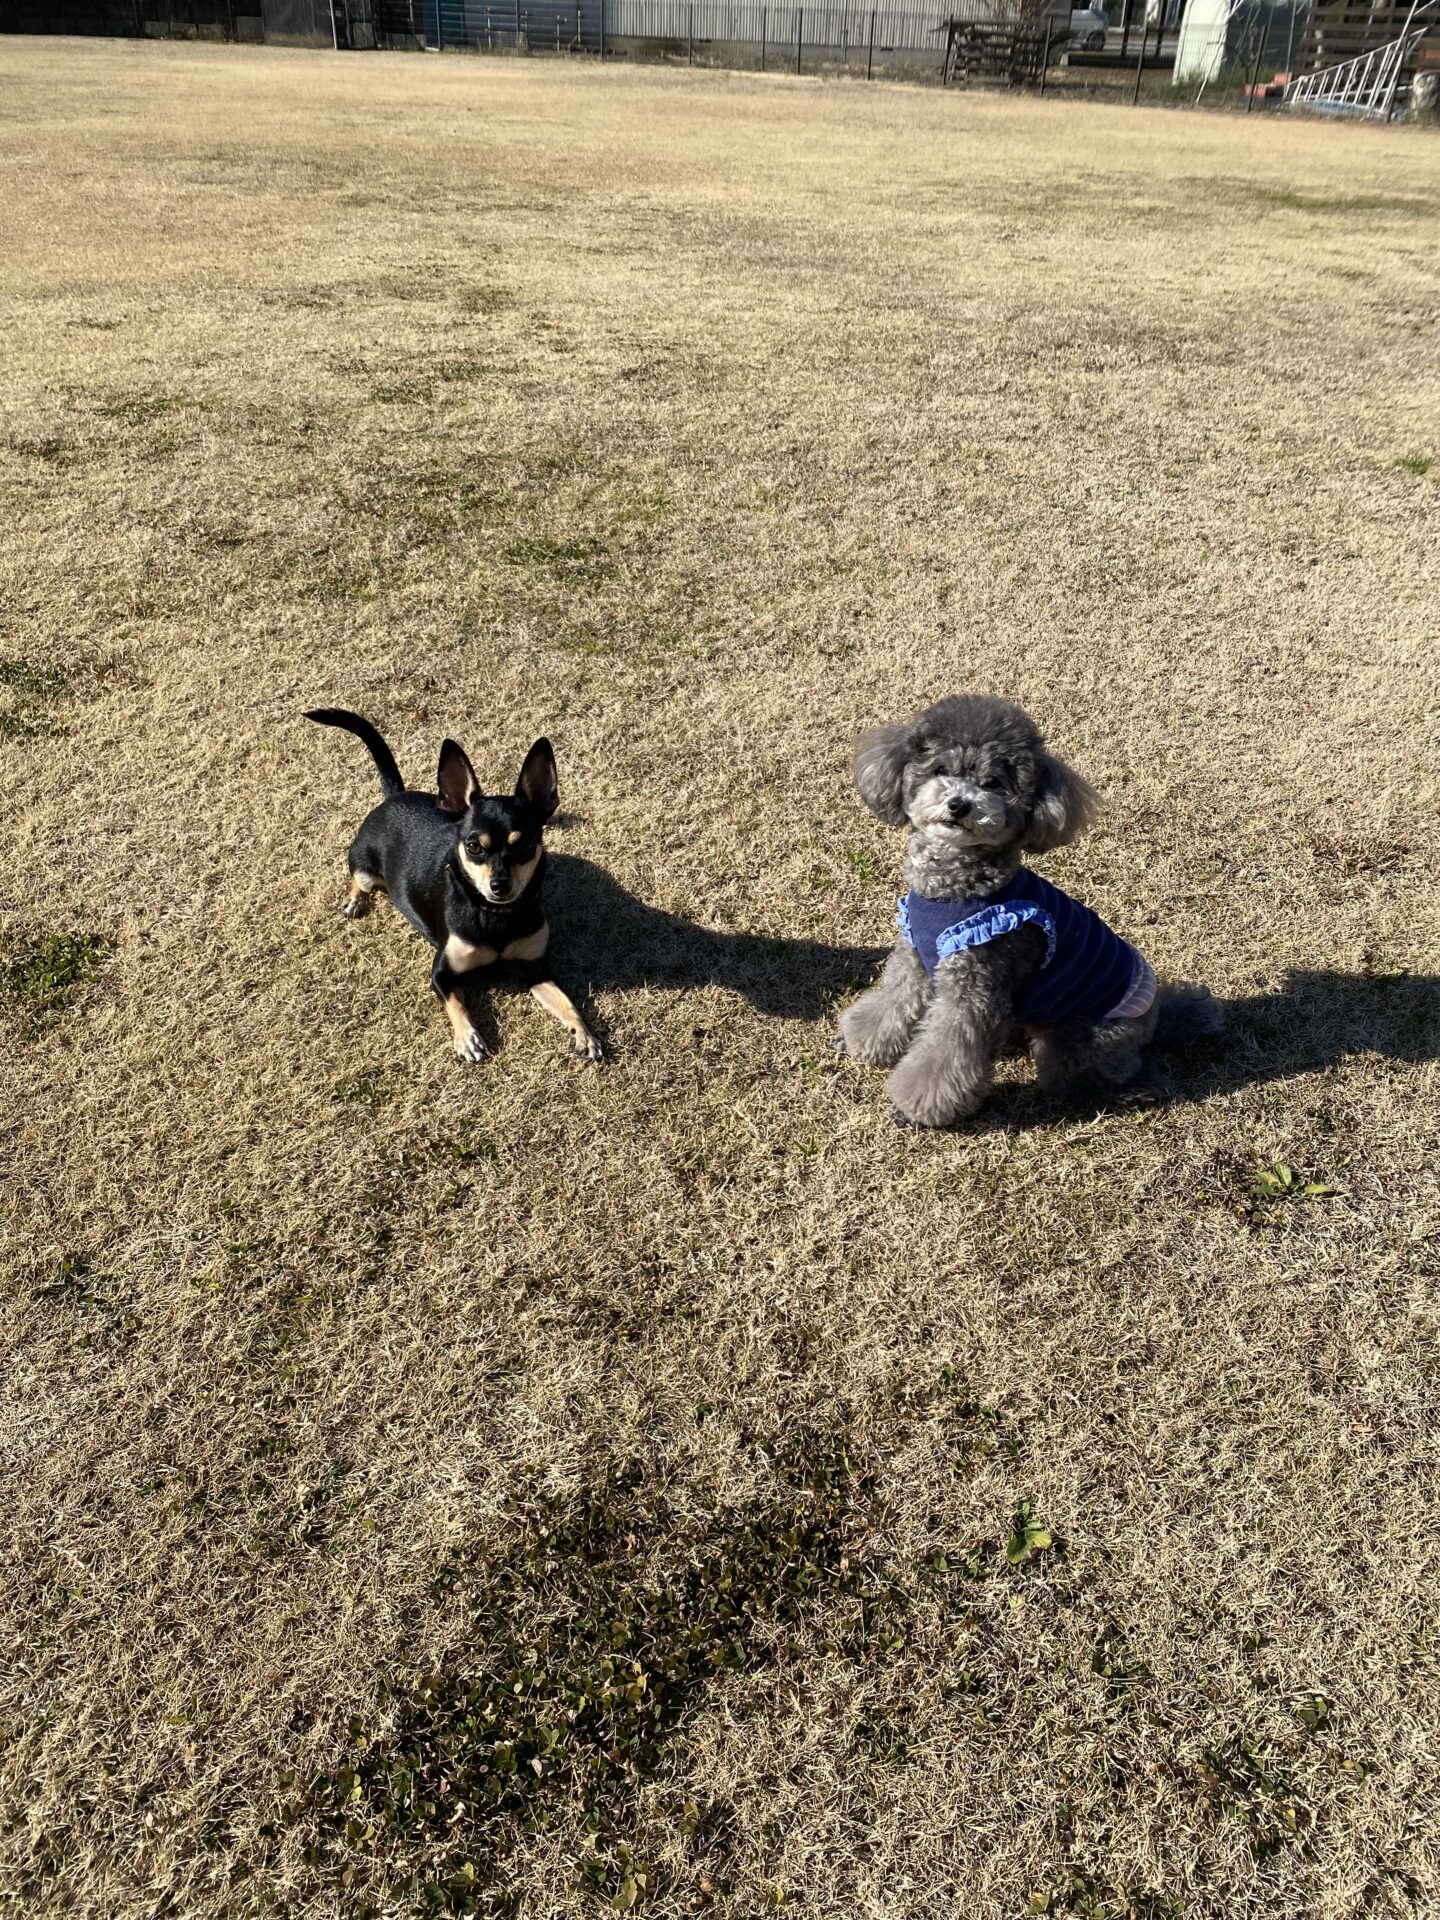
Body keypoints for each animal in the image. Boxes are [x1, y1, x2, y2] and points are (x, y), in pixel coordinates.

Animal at [306, 709, 603, 1065]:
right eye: (473, 846)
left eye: (526, 845)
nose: (499, 886)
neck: (494, 916)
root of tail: (394, 796)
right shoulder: (441, 974)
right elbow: (456, 1003)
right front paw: (468, 1037)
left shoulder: (537, 969)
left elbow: (568, 1002)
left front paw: (584, 1033)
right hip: (364, 866)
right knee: (358, 878)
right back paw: (355, 900)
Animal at [835, 694, 1220, 1127]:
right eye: (940, 770)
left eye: (993, 783)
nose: (959, 804)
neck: (950, 890)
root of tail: (1152, 1015)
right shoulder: (915, 956)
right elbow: (894, 1001)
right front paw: (864, 1038)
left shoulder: (976, 981)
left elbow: (947, 1050)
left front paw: (916, 1106)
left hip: (1083, 1039)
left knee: (1106, 1072)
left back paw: (1131, 1090)